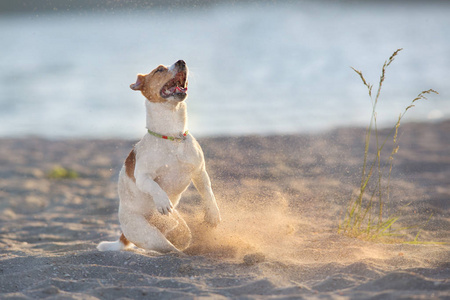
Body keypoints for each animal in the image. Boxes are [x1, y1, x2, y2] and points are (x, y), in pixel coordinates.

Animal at [97, 59, 221, 254]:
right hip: (150, 236)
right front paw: (162, 201)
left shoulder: (199, 171)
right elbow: (155, 187)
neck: (172, 137)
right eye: (159, 70)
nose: (181, 61)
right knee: (170, 247)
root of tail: (123, 233)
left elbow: (208, 192)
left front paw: (213, 213)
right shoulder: (142, 177)